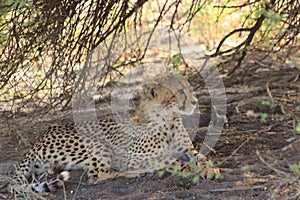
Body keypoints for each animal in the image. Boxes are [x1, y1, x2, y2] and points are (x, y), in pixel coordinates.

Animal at [8, 74, 218, 194]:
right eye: (181, 91)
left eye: (190, 88)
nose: (195, 102)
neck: (168, 119)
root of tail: (40, 138)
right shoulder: (130, 157)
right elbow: (170, 160)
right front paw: (192, 169)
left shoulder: (186, 149)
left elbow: (200, 156)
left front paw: (210, 168)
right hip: (98, 144)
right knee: (96, 176)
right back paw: (139, 173)